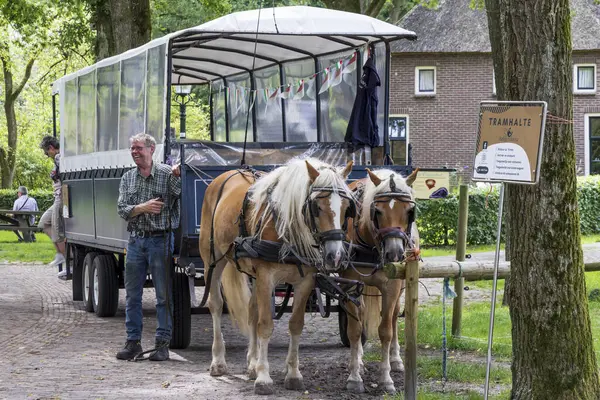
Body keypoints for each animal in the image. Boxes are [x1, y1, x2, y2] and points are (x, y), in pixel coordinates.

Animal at [197, 158, 356, 396]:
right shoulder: (266, 277)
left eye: (346, 208)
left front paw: (292, 374)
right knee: (215, 304)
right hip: (213, 260)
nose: (334, 255)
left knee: (252, 310)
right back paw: (218, 362)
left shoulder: (305, 282)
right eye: (317, 207)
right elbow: (265, 325)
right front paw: (264, 378)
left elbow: (295, 324)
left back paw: (252, 363)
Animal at [340, 168, 420, 394]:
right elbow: (354, 330)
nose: (394, 253)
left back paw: (396, 359)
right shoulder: (349, 284)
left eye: (410, 211)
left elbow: (386, 331)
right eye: (377, 211)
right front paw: (354, 376)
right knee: (361, 316)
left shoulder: (391, 287)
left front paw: (386, 378)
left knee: (393, 317)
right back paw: (359, 362)